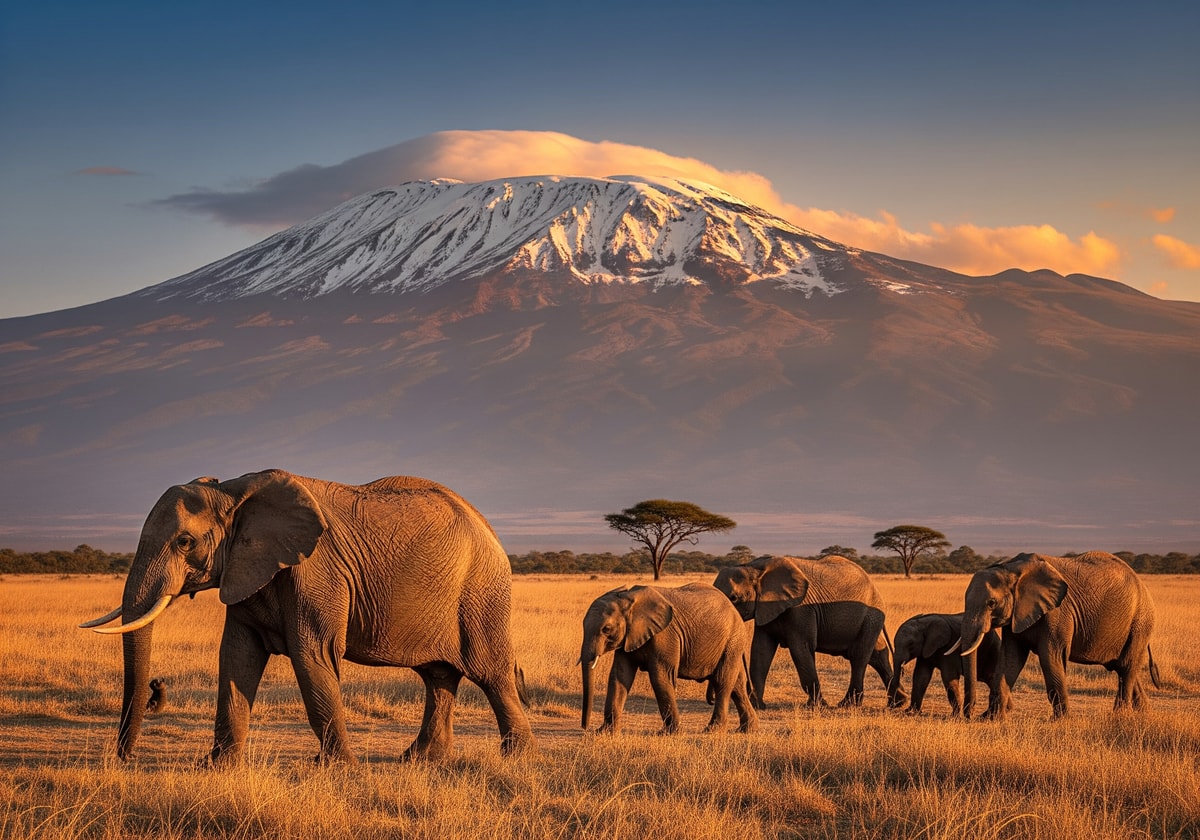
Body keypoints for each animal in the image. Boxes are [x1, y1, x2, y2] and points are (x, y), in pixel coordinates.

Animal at [80, 469, 535, 764]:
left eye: (184, 542)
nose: (122, 759)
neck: (233, 492)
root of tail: (487, 525)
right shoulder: (247, 567)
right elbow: (237, 657)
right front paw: (216, 768)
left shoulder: (316, 571)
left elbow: (312, 655)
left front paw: (337, 769)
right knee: (438, 676)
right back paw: (419, 761)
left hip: (481, 591)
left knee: (489, 672)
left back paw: (517, 758)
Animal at [579, 582, 757, 735]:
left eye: (606, 629)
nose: (585, 727)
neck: (629, 599)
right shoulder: (629, 637)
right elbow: (619, 676)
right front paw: (604, 732)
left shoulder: (665, 636)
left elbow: (660, 677)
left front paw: (670, 733)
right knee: (738, 686)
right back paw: (746, 729)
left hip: (733, 640)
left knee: (722, 681)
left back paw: (713, 730)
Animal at [712, 555, 902, 709]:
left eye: (734, 598)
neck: (753, 567)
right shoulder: (765, 608)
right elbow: (761, 650)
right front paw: (757, 706)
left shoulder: (801, 609)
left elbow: (801, 649)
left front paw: (818, 706)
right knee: (877, 655)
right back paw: (899, 703)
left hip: (871, 616)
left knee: (859, 656)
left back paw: (848, 705)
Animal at [959, 551, 1160, 720]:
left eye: (992, 603)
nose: (969, 716)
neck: (1011, 567)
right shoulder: (1016, 615)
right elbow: (1011, 658)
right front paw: (992, 719)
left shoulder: (1058, 612)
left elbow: (1051, 657)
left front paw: (1060, 720)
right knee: (1122, 667)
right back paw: (1144, 713)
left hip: (1140, 623)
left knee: (1126, 667)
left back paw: (1121, 715)